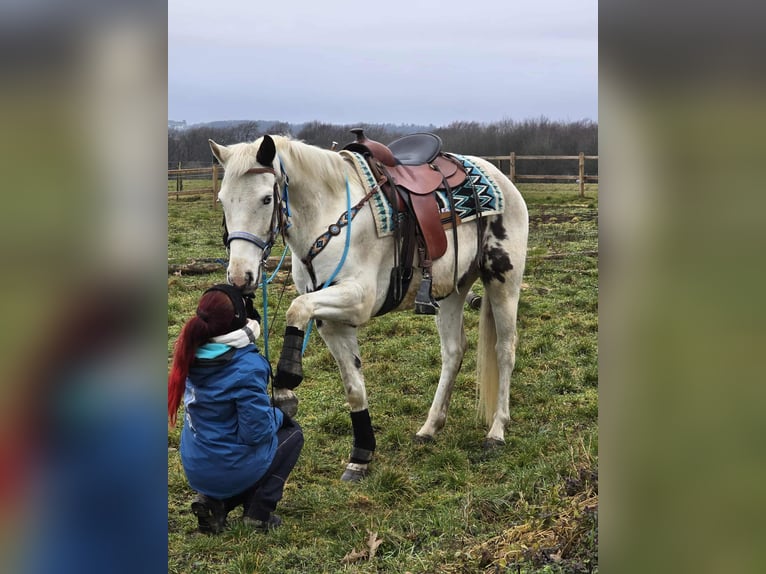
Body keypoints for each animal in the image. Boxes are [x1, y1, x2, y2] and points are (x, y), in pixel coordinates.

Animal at [208, 133, 528, 481]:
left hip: (503, 281)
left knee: (505, 350)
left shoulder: (358, 299)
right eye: (223, 200)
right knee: (453, 352)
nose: (240, 276)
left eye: (267, 199)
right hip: (450, 292)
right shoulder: (333, 322)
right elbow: (354, 388)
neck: (329, 215)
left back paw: (496, 431)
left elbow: (296, 308)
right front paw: (361, 454)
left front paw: (286, 385)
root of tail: (499, 177)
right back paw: (430, 427)